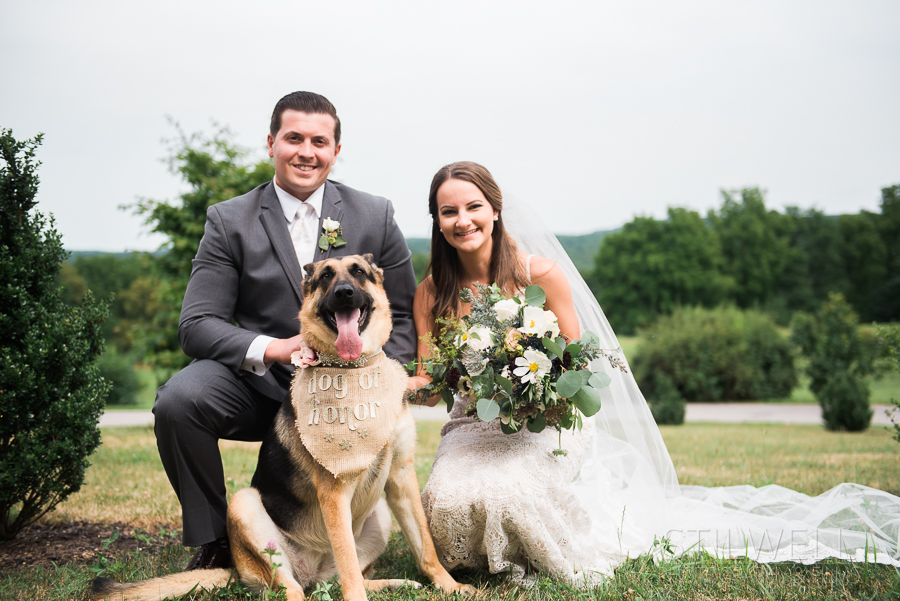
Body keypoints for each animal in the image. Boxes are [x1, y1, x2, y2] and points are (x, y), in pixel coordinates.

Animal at [91, 254, 474, 600]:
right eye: (325, 277)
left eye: (359, 272)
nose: (345, 293)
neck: (353, 371)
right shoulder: (334, 492)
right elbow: (349, 562)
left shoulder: (400, 476)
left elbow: (425, 546)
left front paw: (449, 586)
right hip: (246, 507)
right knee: (296, 588)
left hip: (378, 514)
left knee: (338, 580)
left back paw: (394, 584)